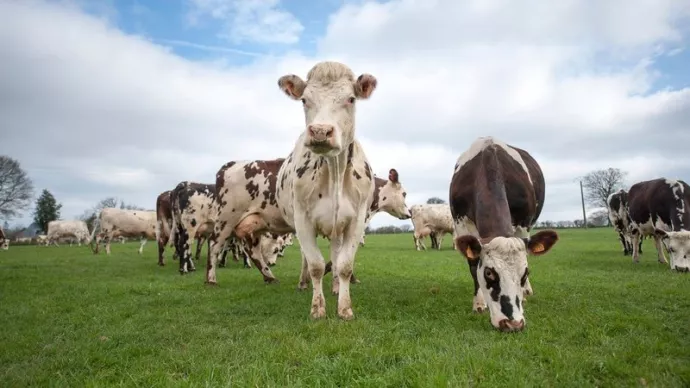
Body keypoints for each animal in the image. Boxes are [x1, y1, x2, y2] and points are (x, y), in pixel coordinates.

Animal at [204, 61, 376, 322]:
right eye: (304, 100)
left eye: (351, 99)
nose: (320, 131)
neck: (334, 172)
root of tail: (231, 164)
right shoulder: (303, 220)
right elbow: (315, 265)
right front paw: (317, 308)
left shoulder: (354, 221)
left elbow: (343, 264)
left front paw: (344, 307)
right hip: (226, 218)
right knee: (215, 246)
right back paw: (212, 279)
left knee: (253, 250)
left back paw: (271, 277)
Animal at [446, 137, 560, 334]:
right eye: (489, 273)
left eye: (525, 272)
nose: (513, 324)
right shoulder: (461, 223)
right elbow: (473, 265)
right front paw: (479, 304)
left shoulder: (523, 224)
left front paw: (522, 295)